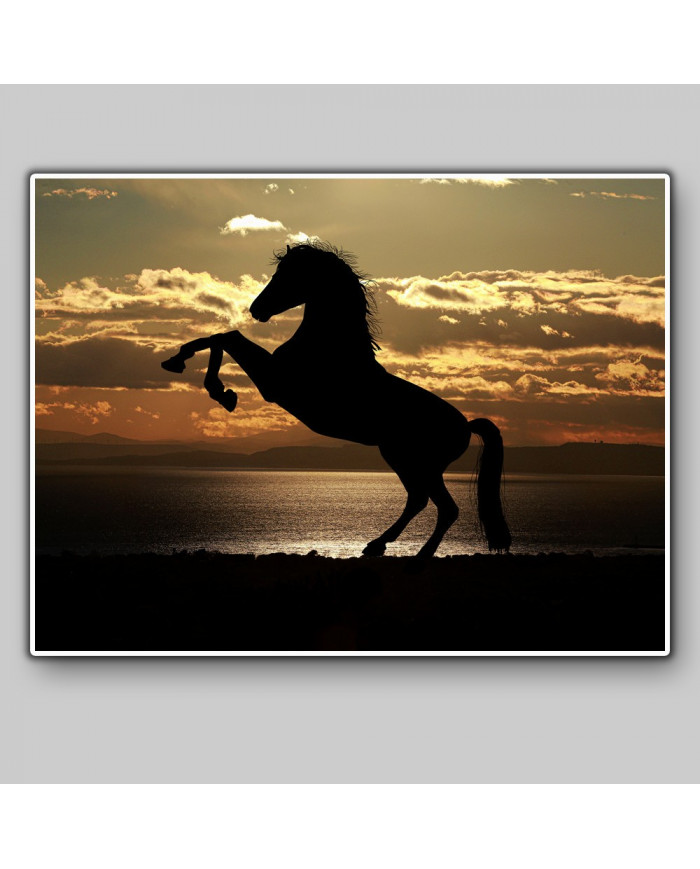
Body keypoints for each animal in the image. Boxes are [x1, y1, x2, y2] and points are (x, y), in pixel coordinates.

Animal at [161, 241, 511, 557]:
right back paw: (377, 545)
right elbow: (221, 337)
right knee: (419, 500)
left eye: (288, 274)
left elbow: (227, 338)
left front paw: (218, 389)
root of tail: (466, 425)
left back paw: (416, 554)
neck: (329, 348)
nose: (256, 310)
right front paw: (182, 364)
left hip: (417, 462)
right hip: (404, 459)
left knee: (442, 506)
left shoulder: (274, 383)